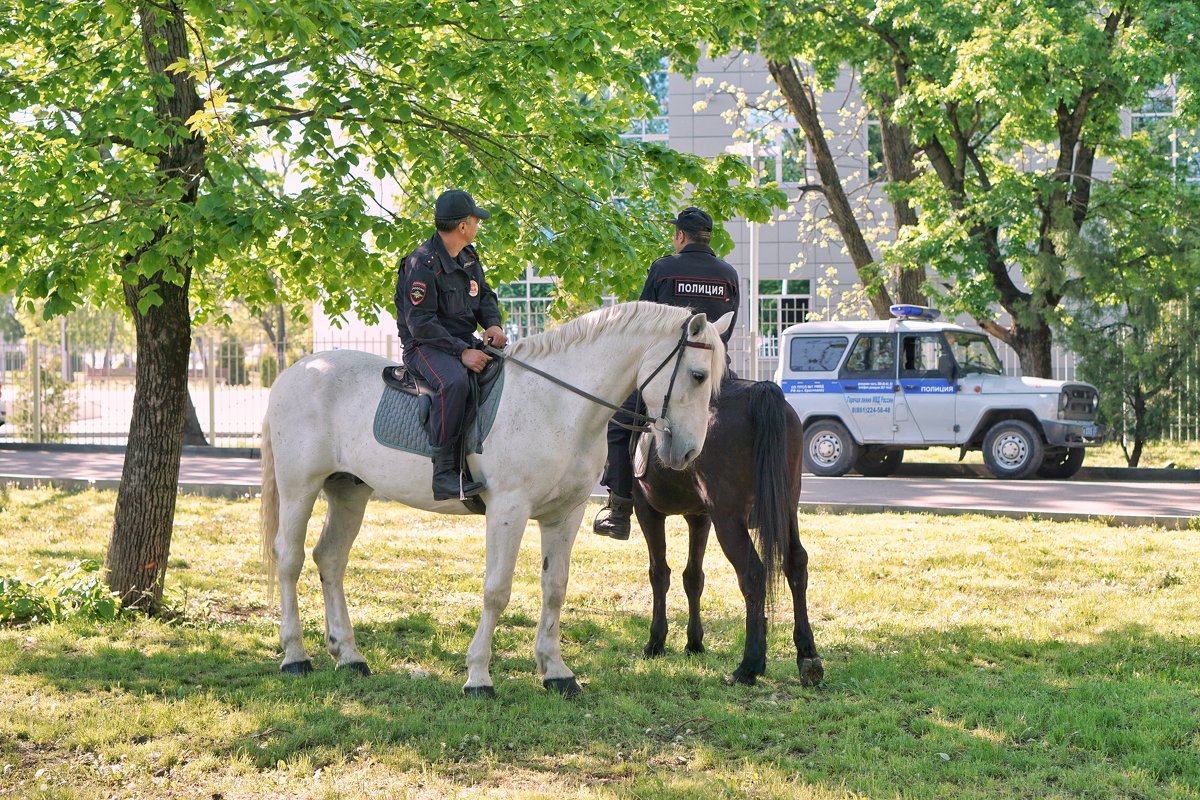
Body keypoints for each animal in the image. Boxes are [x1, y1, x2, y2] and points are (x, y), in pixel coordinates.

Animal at [262, 303, 729, 695]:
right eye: (698, 375)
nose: (687, 453)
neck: (557, 404)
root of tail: (296, 370)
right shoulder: (509, 509)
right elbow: (497, 590)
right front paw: (478, 676)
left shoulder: (565, 514)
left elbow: (555, 587)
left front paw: (556, 671)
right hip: (300, 487)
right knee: (289, 559)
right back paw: (295, 655)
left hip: (348, 490)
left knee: (330, 559)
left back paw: (348, 655)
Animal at [633, 379, 820, 686]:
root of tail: (759, 390)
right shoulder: (699, 517)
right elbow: (693, 578)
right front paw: (694, 643)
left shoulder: (647, 509)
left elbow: (659, 574)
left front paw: (656, 642)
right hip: (786, 508)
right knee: (796, 564)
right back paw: (807, 655)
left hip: (729, 520)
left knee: (753, 574)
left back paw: (749, 665)